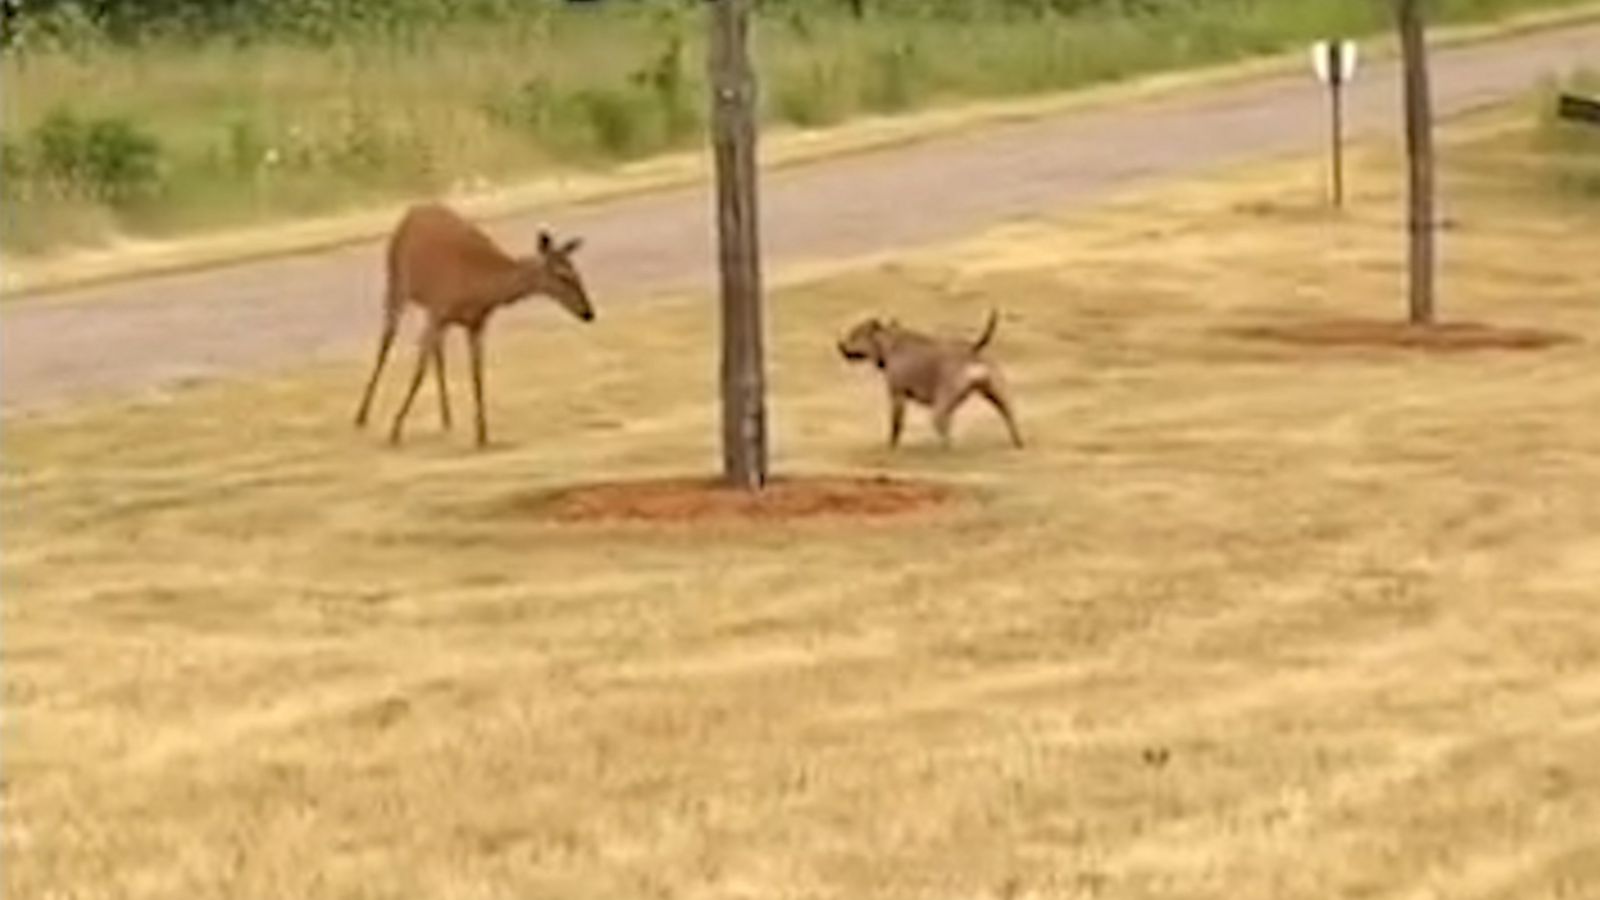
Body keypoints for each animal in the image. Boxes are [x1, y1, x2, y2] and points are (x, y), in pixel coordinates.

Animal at [353, 201, 598, 445]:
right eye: (562, 275)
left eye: (578, 273)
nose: (588, 313)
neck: (479, 287)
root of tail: (410, 213)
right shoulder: (439, 309)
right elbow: (419, 372)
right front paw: (395, 428)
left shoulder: (475, 324)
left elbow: (477, 374)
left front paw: (482, 433)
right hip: (396, 282)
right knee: (386, 342)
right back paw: (361, 415)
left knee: (437, 353)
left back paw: (446, 417)